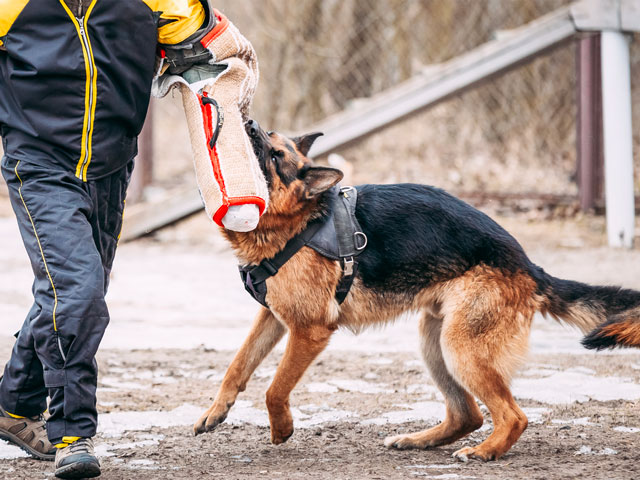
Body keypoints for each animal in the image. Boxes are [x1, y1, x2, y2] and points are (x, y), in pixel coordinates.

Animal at [192, 120, 640, 462]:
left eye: (275, 155)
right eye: (267, 134)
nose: (248, 122)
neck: (298, 221)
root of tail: (527, 265)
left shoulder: (310, 331)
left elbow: (275, 387)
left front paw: (281, 428)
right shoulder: (272, 316)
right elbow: (237, 366)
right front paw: (215, 412)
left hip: (461, 347)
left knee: (513, 416)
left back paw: (485, 451)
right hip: (434, 342)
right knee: (467, 415)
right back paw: (419, 440)